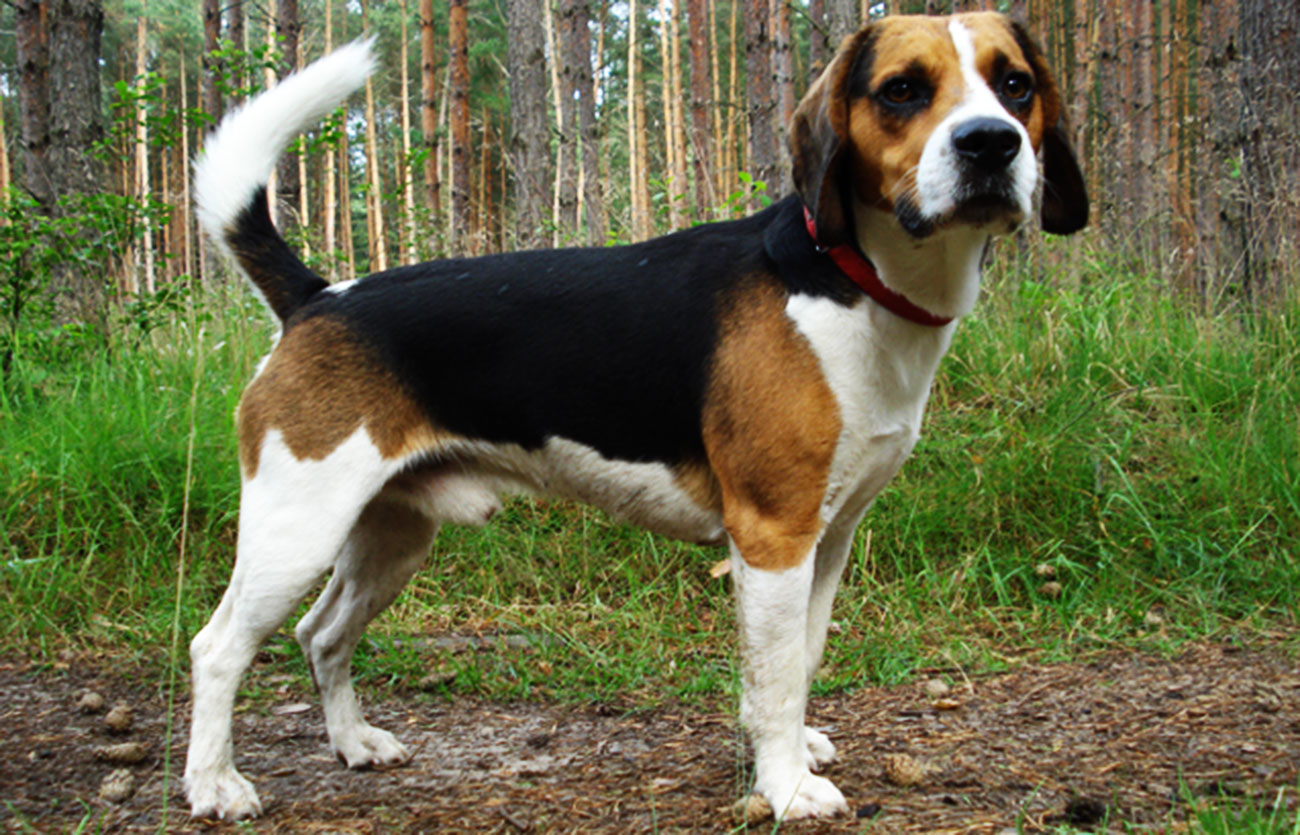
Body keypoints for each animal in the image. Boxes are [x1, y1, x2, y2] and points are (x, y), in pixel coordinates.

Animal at [188, 13, 1092, 821]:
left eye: (1016, 84)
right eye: (902, 90)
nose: (990, 143)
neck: (849, 277)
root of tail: (318, 296)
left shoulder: (829, 538)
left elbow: (801, 661)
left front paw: (797, 748)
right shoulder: (773, 536)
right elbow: (773, 679)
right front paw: (786, 786)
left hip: (390, 534)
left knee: (322, 634)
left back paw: (353, 743)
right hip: (296, 527)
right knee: (219, 647)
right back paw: (214, 785)